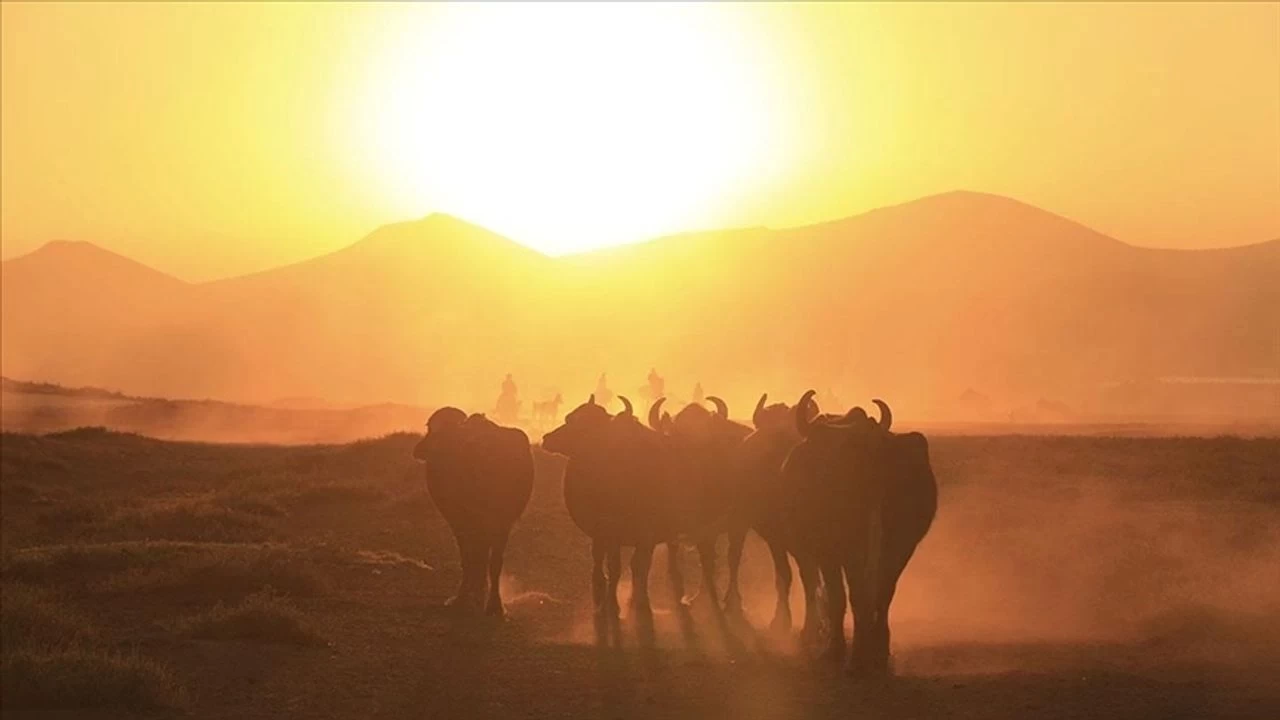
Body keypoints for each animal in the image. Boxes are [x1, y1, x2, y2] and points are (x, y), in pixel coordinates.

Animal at [409, 407, 529, 614]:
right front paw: (471, 596)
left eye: (430, 429)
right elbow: (475, 558)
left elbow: (482, 559)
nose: (420, 450)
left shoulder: (494, 521)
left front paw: (484, 601)